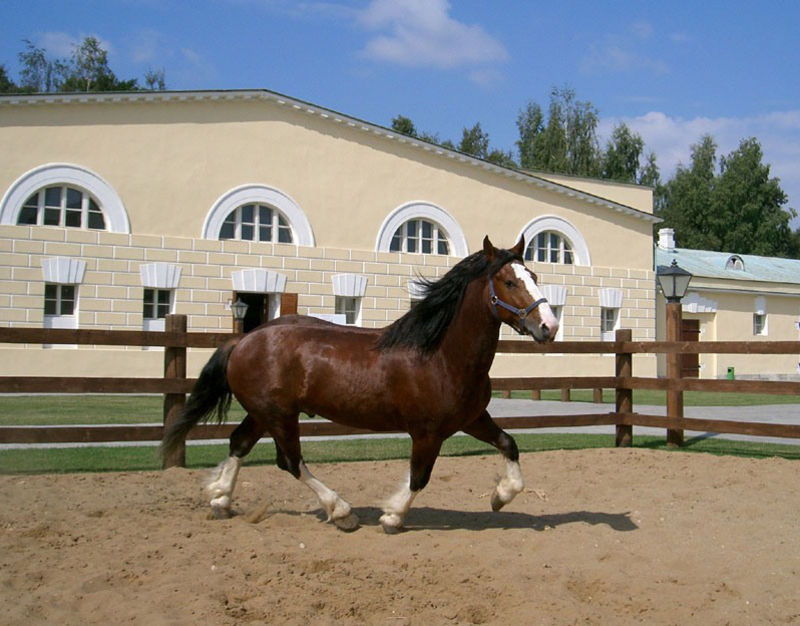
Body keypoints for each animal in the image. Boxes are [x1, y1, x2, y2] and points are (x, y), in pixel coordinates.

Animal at [162, 235, 556, 532]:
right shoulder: (427, 433)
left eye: (535, 274)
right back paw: (342, 512)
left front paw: (499, 497)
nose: (549, 327)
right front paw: (392, 517)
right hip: (279, 417)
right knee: (290, 462)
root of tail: (243, 340)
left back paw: (220, 499)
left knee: (239, 443)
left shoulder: (471, 419)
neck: (441, 355)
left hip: (264, 414)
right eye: (510, 281)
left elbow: (509, 445)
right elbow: (419, 477)